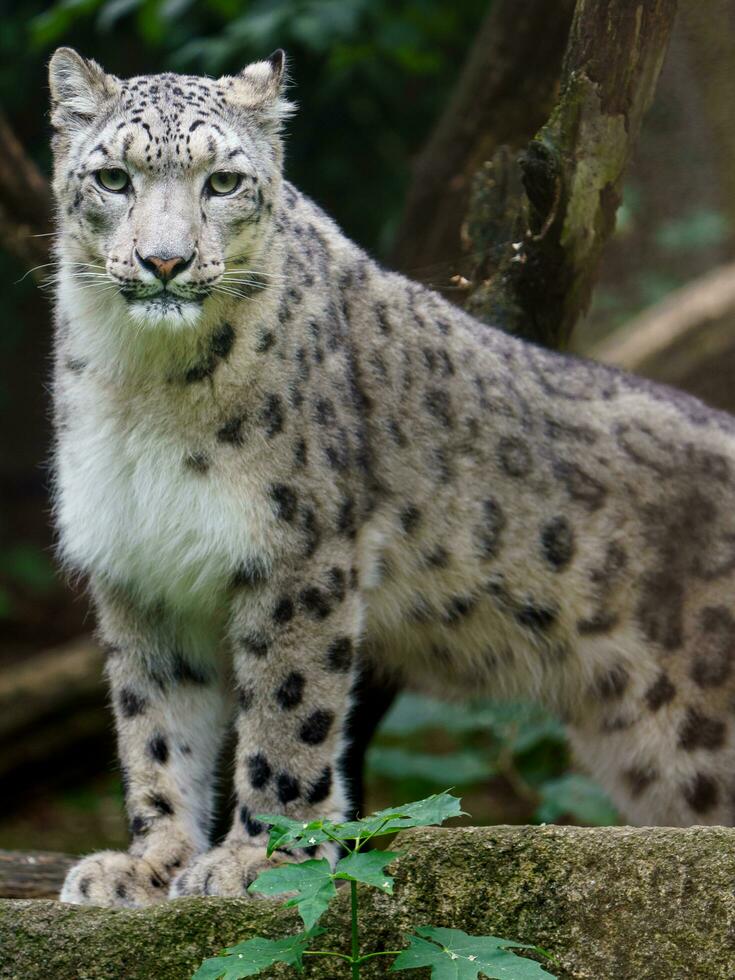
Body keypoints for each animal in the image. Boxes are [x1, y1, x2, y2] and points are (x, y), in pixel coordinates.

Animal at [50, 44, 735, 904]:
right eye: (114, 178)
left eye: (224, 182)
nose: (164, 261)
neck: (142, 381)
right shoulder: (140, 564)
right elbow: (155, 727)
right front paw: (148, 865)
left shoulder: (297, 548)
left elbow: (286, 710)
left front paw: (261, 859)